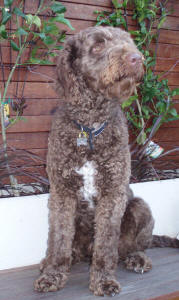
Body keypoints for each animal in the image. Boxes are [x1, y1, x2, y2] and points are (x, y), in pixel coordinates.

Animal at [34, 26, 155, 298]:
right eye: (98, 45)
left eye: (129, 41)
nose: (137, 58)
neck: (89, 127)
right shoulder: (62, 193)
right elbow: (58, 239)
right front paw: (53, 274)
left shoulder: (112, 193)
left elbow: (106, 245)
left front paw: (103, 280)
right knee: (70, 247)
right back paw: (55, 260)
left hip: (140, 206)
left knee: (132, 246)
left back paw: (137, 258)